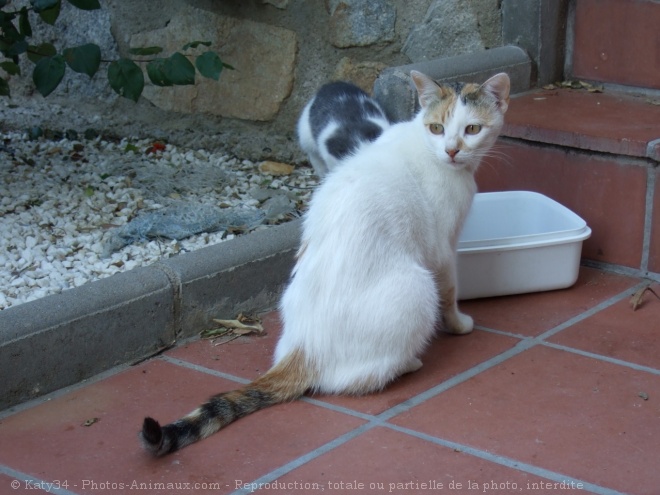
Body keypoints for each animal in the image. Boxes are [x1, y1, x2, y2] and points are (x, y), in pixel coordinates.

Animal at [141, 70, 510, 458]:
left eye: (471, 129)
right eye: (437, 128)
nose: (452, 150)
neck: (426, 147)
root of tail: (304, 348)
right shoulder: (443, 248)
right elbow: (451, 290)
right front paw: (458, 324)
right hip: (417, 288)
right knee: (355, 380)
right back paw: (408, 361)